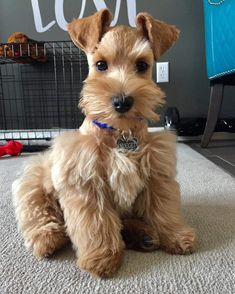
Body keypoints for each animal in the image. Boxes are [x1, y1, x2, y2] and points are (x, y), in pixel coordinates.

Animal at [12, 9, 196, 278]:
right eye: (100, 65)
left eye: (142, 65)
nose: (122, 102)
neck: (120, 133)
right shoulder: (86, 183)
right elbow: (97, 224)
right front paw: (103, 257)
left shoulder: (157, 174)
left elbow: (164, 209)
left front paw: (175, 235)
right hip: (34, 184)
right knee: (39, 214)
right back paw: (48, 238)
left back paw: (142, 234)